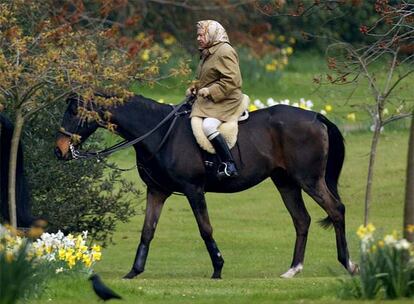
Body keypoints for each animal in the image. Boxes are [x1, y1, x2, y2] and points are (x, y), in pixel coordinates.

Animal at [55, 94, 358, 280]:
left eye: (74, 111)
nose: (59, 150)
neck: (159, 133)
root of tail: (316, 117)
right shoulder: (157, 192)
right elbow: (147, 231)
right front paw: (134, 272)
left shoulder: (193, 190)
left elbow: (205, 229)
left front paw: (218, 268)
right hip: (286, 182)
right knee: (302, 220)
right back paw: (293, 269)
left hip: (309, 180)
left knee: (336, 210)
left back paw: (349, 264)